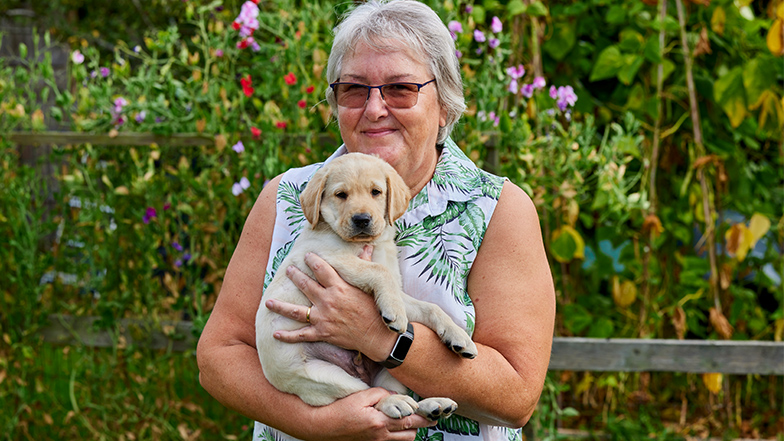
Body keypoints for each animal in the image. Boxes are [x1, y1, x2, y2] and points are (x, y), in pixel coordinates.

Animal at [258, 153, 478, 428]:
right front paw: (396, 314)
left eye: (376, 192)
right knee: (367, 395)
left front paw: (459, 337)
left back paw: (432, 406)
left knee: (393, 395)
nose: (361, 219)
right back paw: (397, 403)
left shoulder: (395, 287)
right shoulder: (329, 258)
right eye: (341, 195)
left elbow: (431, 307)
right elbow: (377, 270)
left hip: (394, 371)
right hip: (320, 376)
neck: (369, 243)